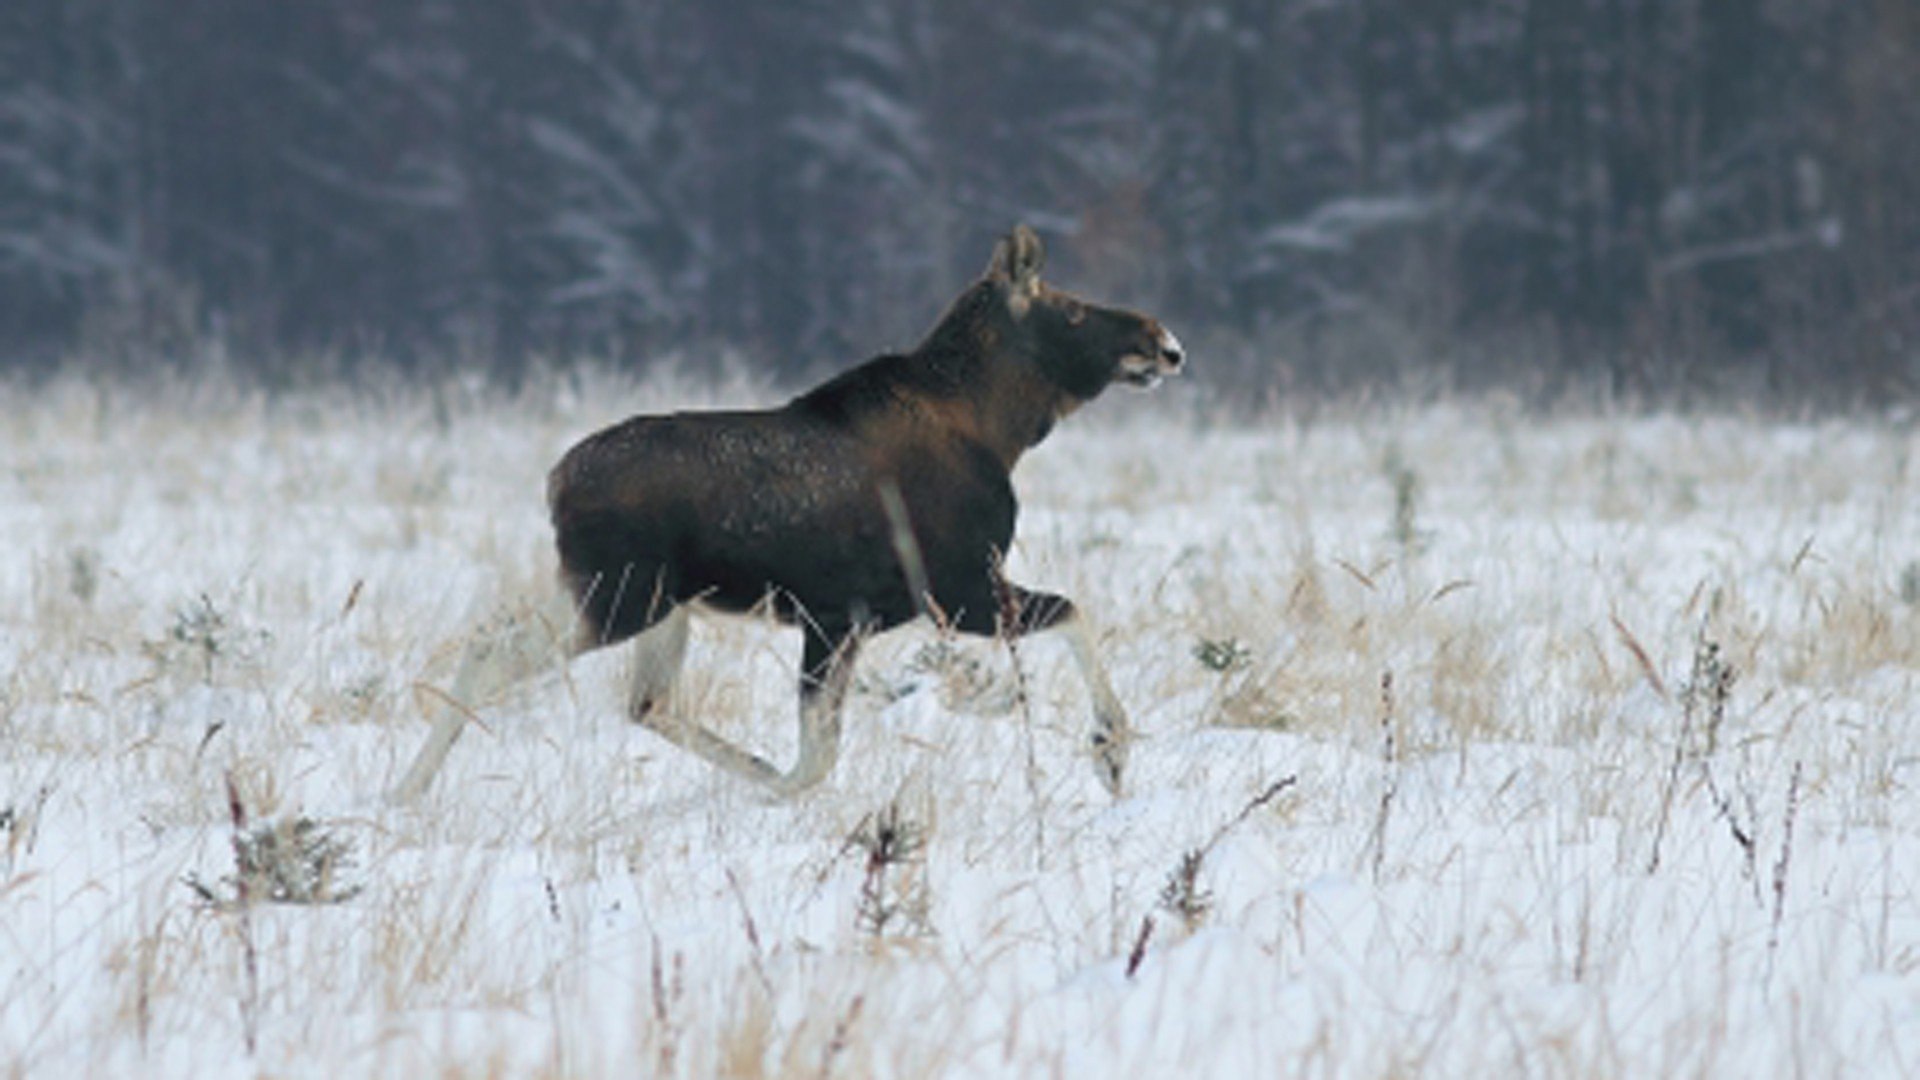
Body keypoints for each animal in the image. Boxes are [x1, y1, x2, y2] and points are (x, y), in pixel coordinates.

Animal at [391, 224, 1182, 799]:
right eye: (1071, 308)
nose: (1163, 343)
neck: (1001, 430)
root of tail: (554, 482)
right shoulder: (951, 591)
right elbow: (1073, 614)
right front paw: (1109, 748)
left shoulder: (843, 619)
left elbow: (818, 752)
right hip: (619, 597)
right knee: (496, 651)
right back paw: (408, 788)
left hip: (656, 606)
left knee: (641, 699)